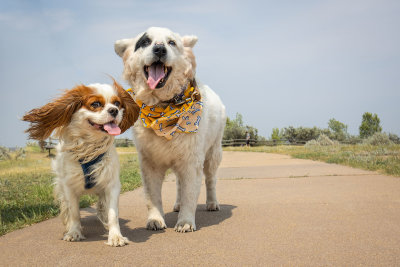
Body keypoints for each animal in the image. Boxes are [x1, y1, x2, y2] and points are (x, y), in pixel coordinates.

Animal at [23, 81, 140, 247]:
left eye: (117, 103)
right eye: (95, 104)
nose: (114, 110)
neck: (89, 147)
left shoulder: (111, 184)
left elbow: (112, 213)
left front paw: (116, 236)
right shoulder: (69, 186)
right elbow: (74, 212)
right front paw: (74, 232)